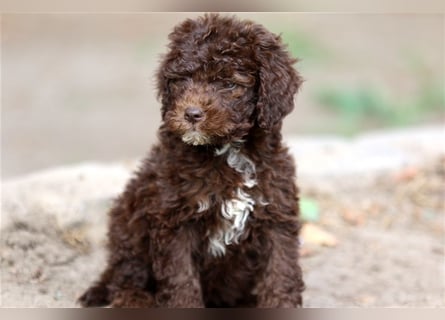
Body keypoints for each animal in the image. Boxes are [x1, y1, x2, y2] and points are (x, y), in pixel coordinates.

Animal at [78, 14, 304, 308]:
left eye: (229, 84)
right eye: (183, 79)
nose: (192, 114)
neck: (227, 151)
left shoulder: (276, 213)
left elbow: (280, 273)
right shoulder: (174, 218)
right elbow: (180, 278)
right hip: (128, 220)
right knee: (125, 275)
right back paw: (135, 300)